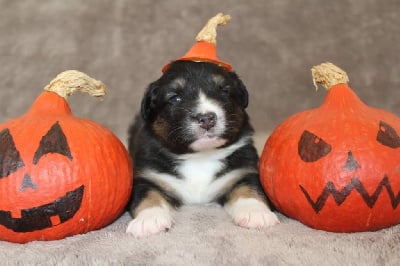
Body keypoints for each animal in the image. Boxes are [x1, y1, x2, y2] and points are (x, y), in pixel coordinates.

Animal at [126, 61, 278, 238]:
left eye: (224, 91)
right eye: (175, 97)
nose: (206, 119)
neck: (199, 157)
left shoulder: (243, 171)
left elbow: (250, 189)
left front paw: (256, 213)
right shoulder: (148, 176)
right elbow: (148, 195)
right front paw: (150, 220)